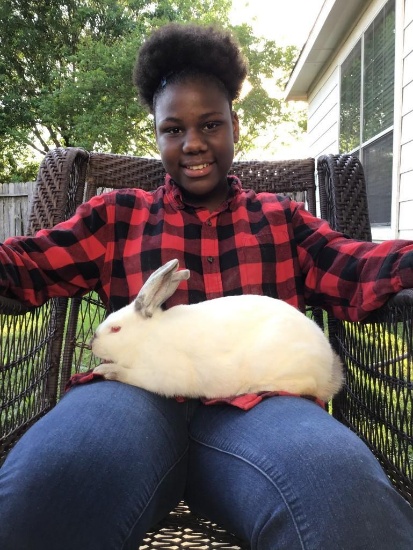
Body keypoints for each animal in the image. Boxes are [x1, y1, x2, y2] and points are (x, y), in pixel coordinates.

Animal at [91, 258, 342, 402]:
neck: (145, 339)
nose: (93, 342)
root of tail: (329, 368)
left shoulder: (160, 375)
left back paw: (252, 389)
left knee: (306, 385)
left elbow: (131, 376)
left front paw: (106, 371)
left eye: (116, 329)